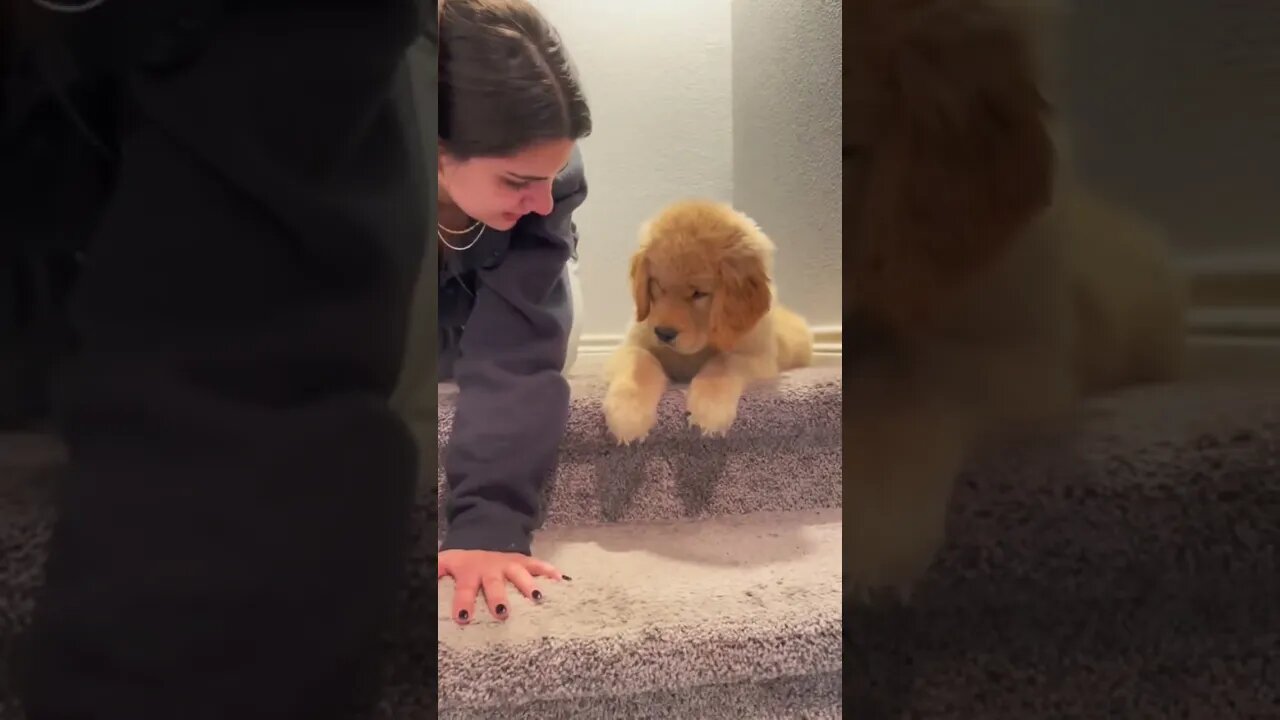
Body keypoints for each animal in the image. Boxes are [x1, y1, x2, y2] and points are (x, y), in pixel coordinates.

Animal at [599, 198, 808, 440]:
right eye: (657, 285)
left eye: (699, 293)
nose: (663, 333)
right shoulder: (633, 344)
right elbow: (640, 363)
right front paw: (628, 413)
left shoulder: (757, 357)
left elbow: (724, 362)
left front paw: (710, 408)